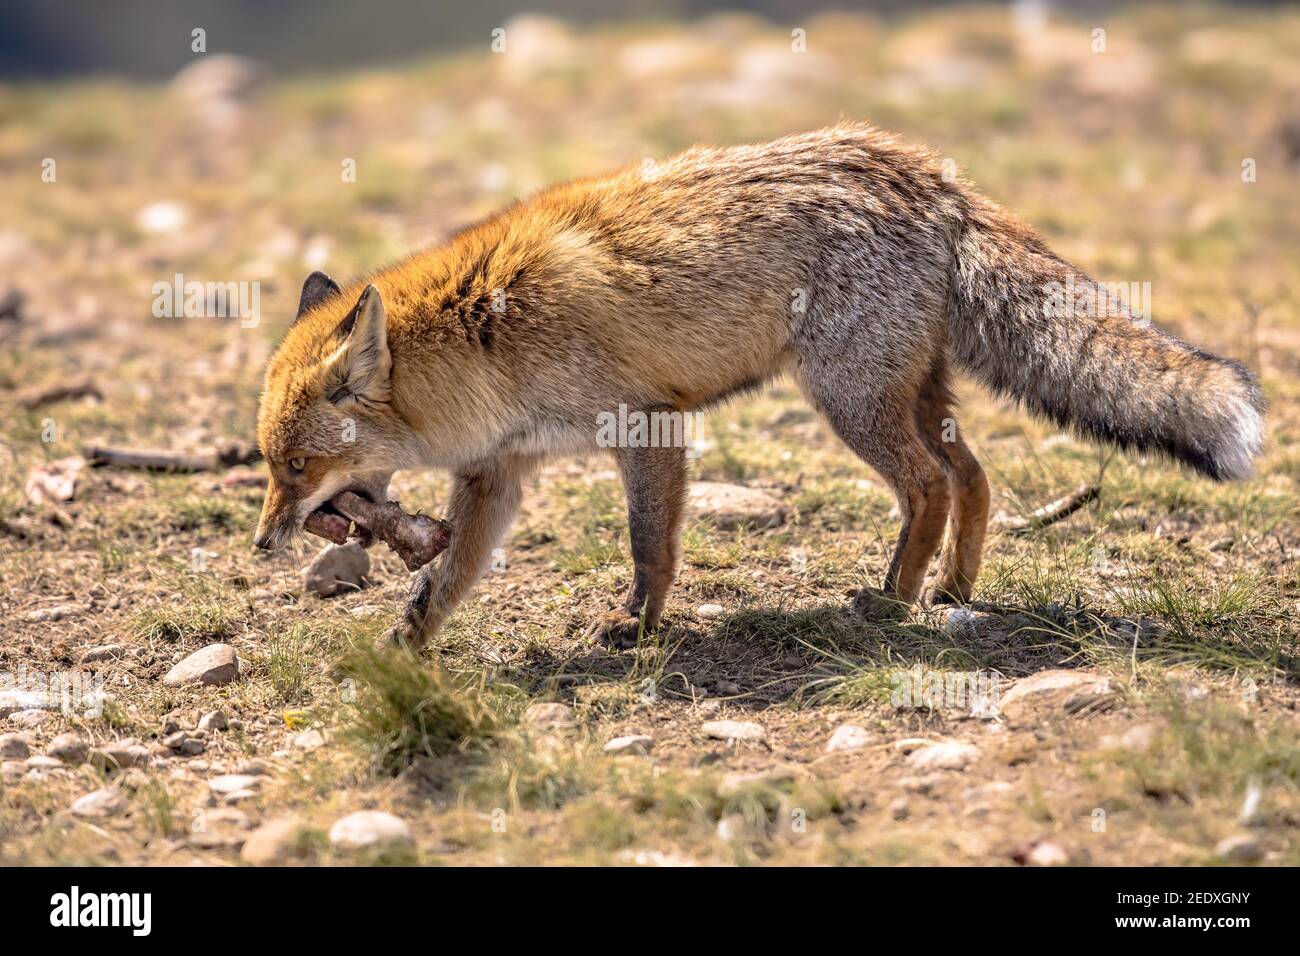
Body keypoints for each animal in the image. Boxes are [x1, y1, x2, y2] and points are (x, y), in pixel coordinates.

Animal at [254, 124, 1265, 651]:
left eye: (296, 467)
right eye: (270, 466)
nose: (264, 543)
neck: (488, 338)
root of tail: (924, 171)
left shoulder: (649, 428)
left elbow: (649, 547)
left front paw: (639, 627)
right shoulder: (498, 475)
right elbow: (449, 577)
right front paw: (403, 649)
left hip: (850, 404)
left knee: (930, 487)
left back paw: (894, 598)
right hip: (910, 395)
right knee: (974, 479)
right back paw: (950, 587)